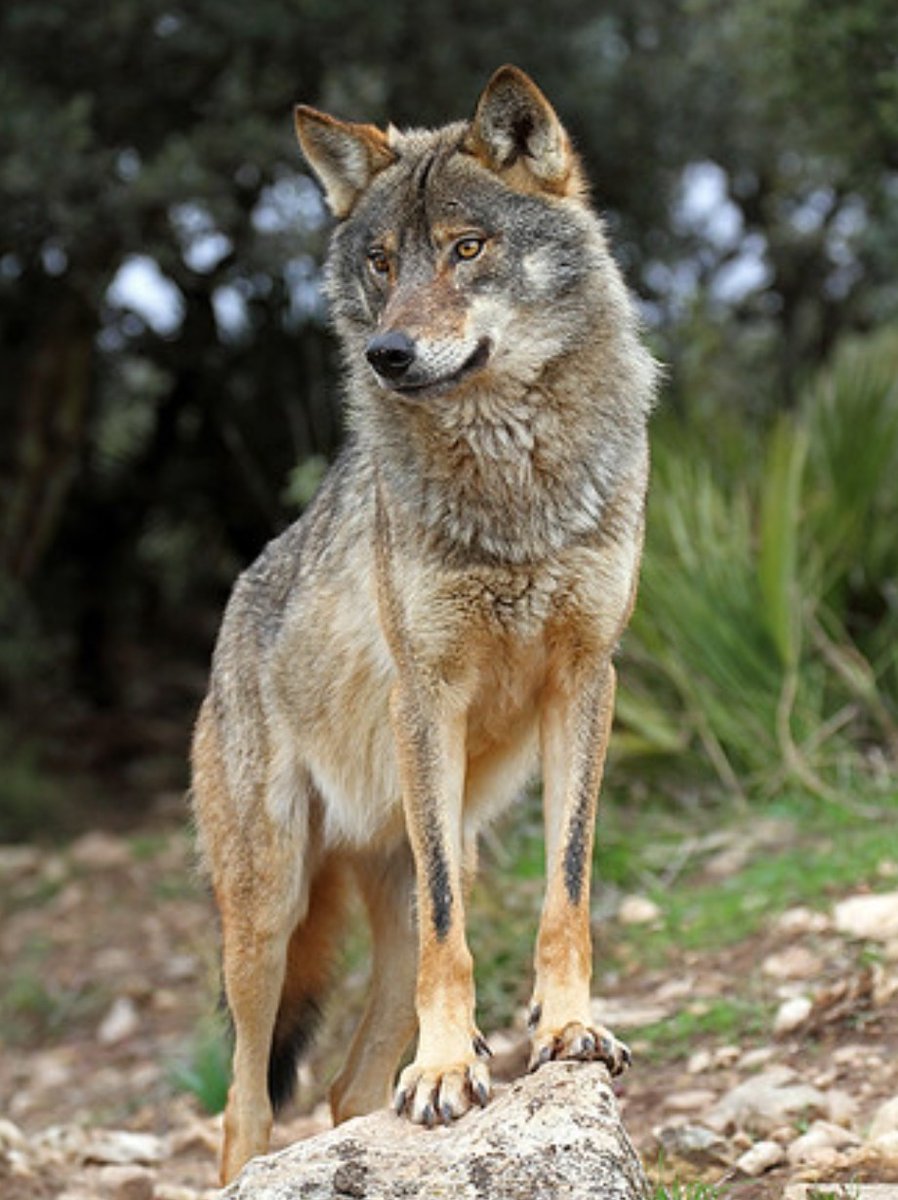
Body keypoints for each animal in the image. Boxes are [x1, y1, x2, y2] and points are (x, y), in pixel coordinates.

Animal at [191, 64, 659, 1183]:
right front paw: (451, 1067)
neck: (512, 478)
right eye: (379, 260)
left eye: (466, 247)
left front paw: (566, 1029)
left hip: (397, 881)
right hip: (266, 915)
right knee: (245, 1107)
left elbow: (567, 889)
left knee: (345, 1094)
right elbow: (459, 939)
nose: (387, 352)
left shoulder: (588, 680)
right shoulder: (428, 695)